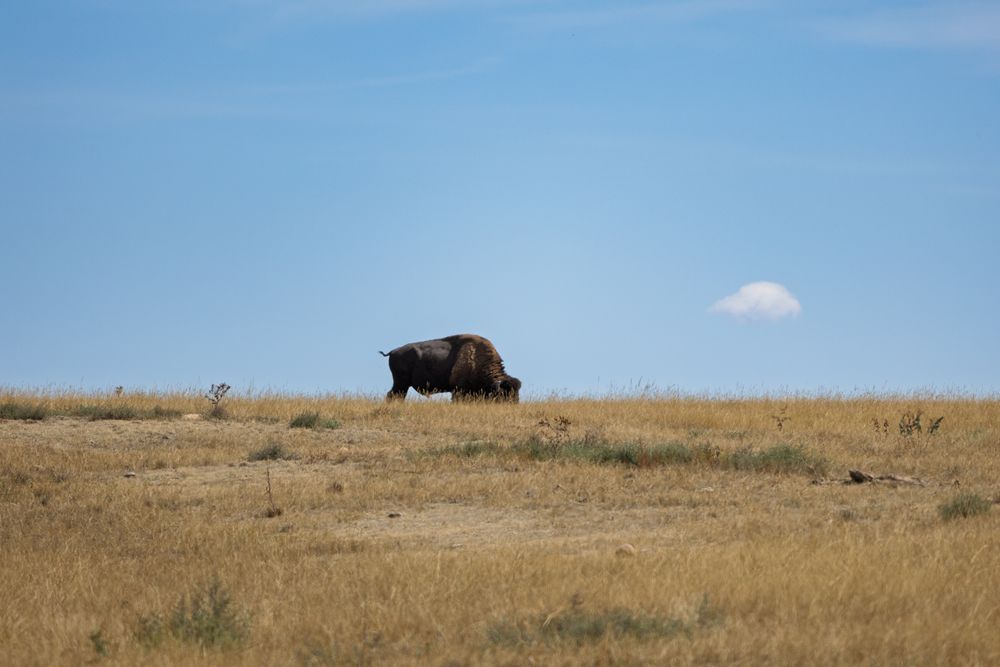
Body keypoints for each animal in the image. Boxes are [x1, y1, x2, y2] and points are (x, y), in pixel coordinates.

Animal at [379, 334, 521, 402]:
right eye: (504, 395)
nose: (513, 404)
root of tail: (392, 352)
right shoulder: (458, 390)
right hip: (401, 384)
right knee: (393, 395)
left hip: (401, 384)